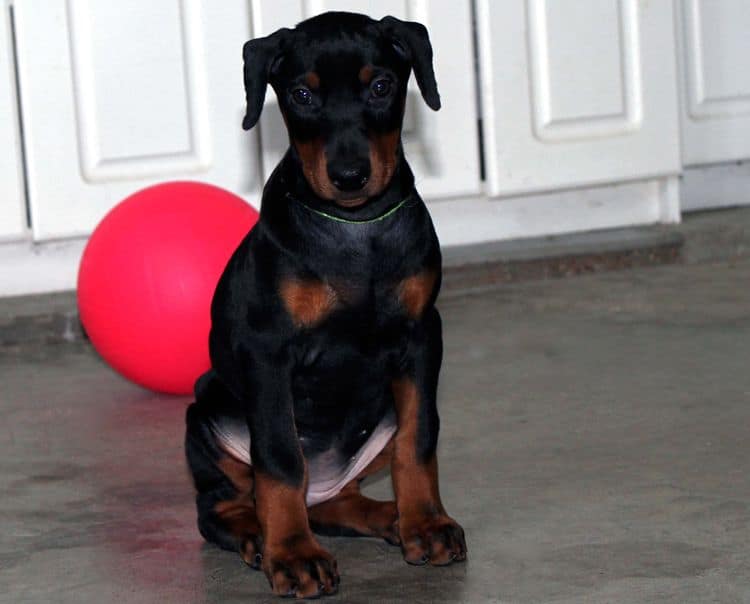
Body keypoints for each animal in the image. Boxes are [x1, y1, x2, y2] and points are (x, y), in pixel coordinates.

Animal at [185, 10, 468, 600]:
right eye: (301, 95)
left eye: (381, 86)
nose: (350, 176)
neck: (355, 226)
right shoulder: (268, 350)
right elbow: (279, 460)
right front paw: (293, 554)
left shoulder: (422, 336)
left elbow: (419, 438)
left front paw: (426, 522)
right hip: (205, 414)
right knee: (223, 505)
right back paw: (259, 535)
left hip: (376, 422)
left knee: (339, 501)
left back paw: (391, 518)